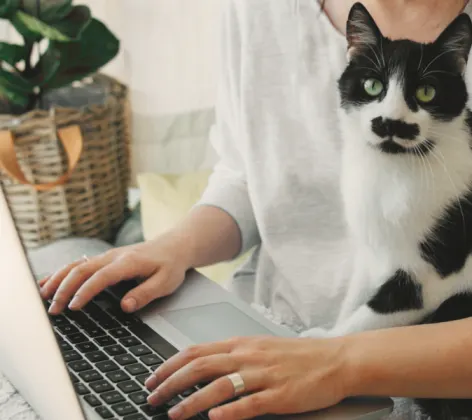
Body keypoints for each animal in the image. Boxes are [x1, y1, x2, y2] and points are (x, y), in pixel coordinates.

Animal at [304, 3, 472, 420]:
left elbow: (366, 320)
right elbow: (354, 300)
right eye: (372, 86)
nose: (390, 122)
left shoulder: (428, 279)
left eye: (426, 92)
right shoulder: (370, 252)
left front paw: (319, 347)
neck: (396, 172)